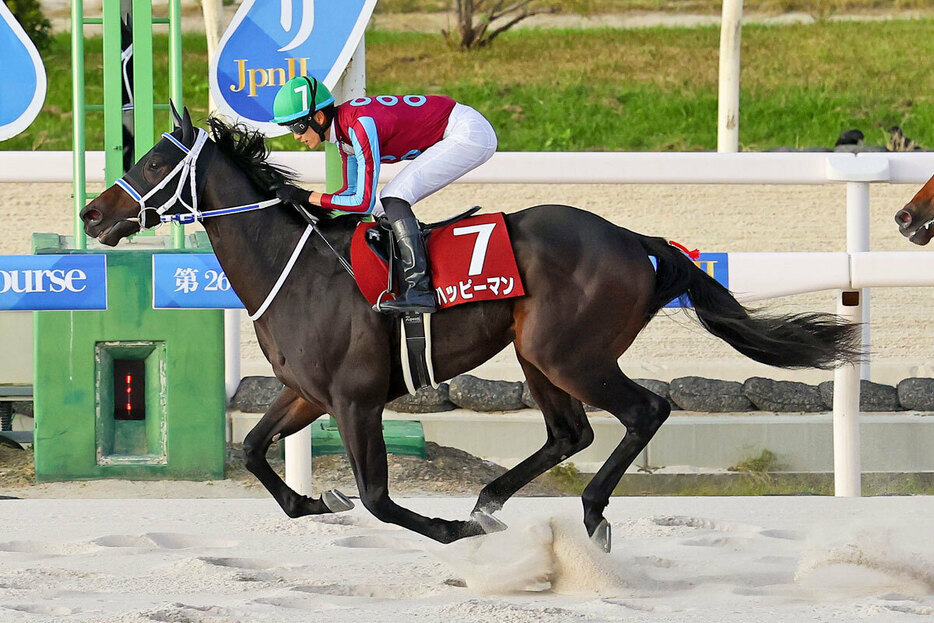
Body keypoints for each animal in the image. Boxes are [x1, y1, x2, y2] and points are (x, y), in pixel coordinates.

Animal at [80, 107, 864, 552]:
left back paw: (585, 513)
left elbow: (379, 498)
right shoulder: (307, 392)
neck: (296, 266)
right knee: (569, 433)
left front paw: (444, 527)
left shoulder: (357, 399)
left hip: (567, 352)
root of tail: (634, 239)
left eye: (155, 162)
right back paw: (491, 503)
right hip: (535, 355)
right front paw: (312, 498)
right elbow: (250, 449)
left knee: (645, 409)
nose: (92, 214)